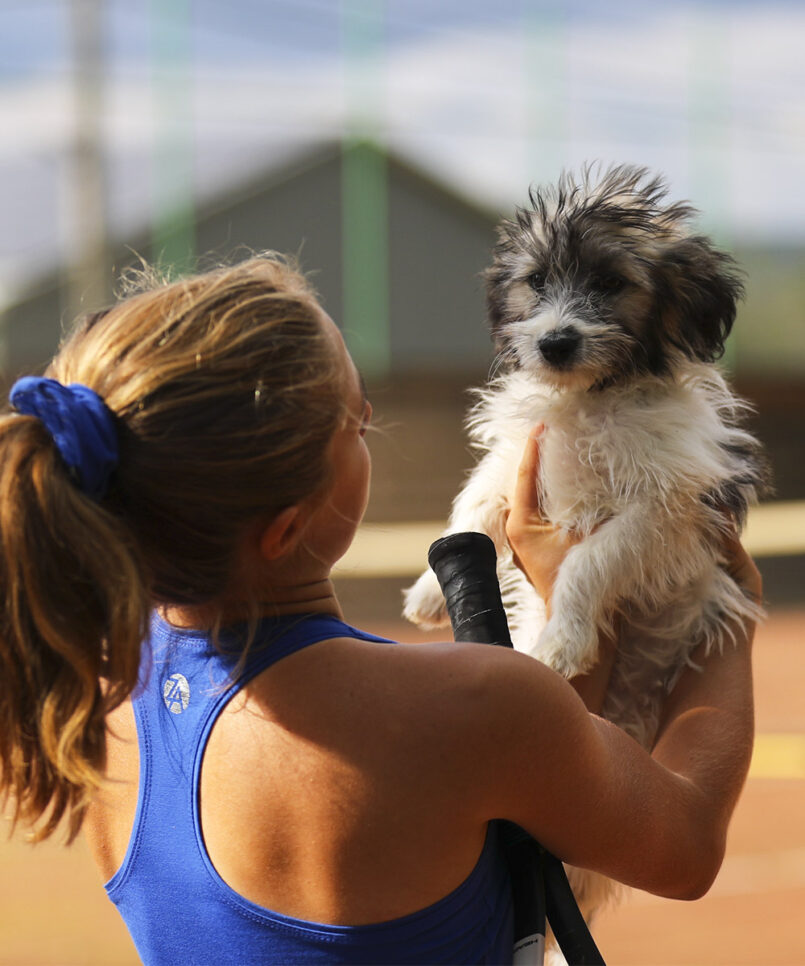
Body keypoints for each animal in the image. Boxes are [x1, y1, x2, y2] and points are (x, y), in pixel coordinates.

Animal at [406, 166, 768, 944]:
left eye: (609, 283)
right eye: (537, 282)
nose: (555, 343)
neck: (590, 401)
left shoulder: (661, 511)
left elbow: (586, 563)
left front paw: (563, 640)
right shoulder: (515, 456)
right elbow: (473, 504)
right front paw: (425, 590)